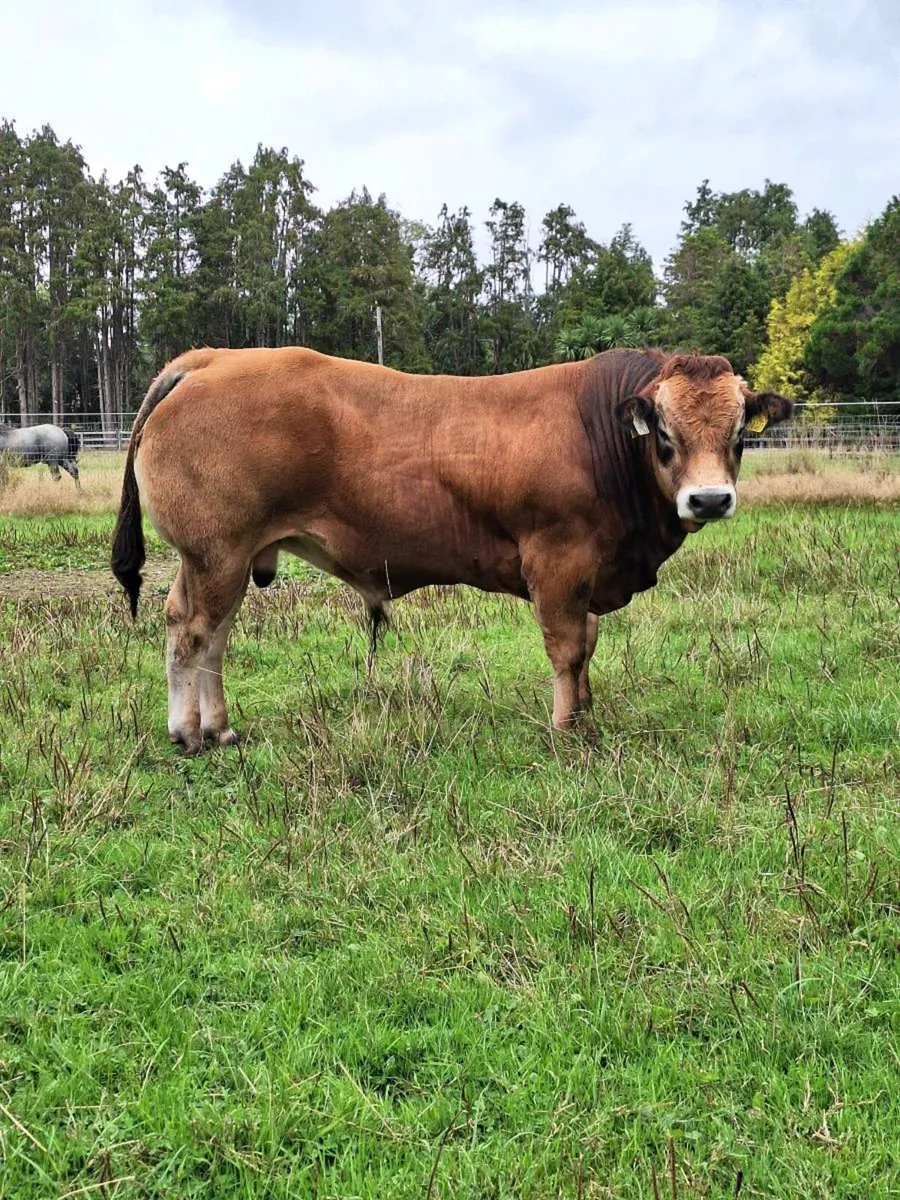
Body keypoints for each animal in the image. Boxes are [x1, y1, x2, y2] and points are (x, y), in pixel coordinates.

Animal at [111, 347, 792, 753]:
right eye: (666, 436)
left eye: (739, 432)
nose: (709, 499)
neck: (596, 433)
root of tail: (212, 359)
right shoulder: (559, 559)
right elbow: (567, 649)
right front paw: (566, 728)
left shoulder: (590, 570)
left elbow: (589, 646)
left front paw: (588, 714)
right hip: (216, 554)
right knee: (192, 631)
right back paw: (189, 733)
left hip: (222, 558)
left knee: (211, 635)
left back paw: (220, 727)